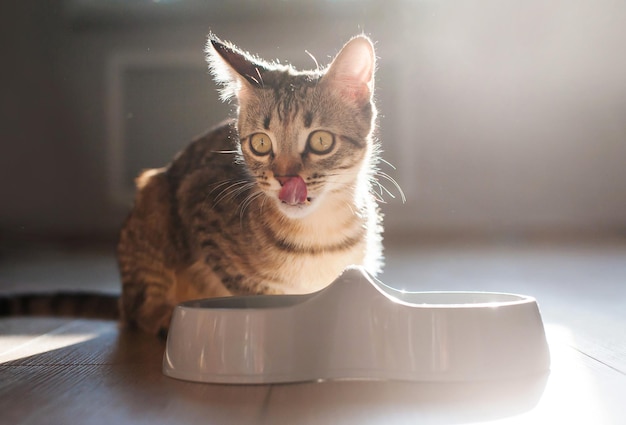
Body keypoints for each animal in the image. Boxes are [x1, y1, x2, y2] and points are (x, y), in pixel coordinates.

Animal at [116, 33, 390, 336]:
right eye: (261, 143)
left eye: (321, 141)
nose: (284, 178)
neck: (317, 234)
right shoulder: (200, 207)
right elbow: (257, 292)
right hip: (154, 205)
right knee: (138, 312)